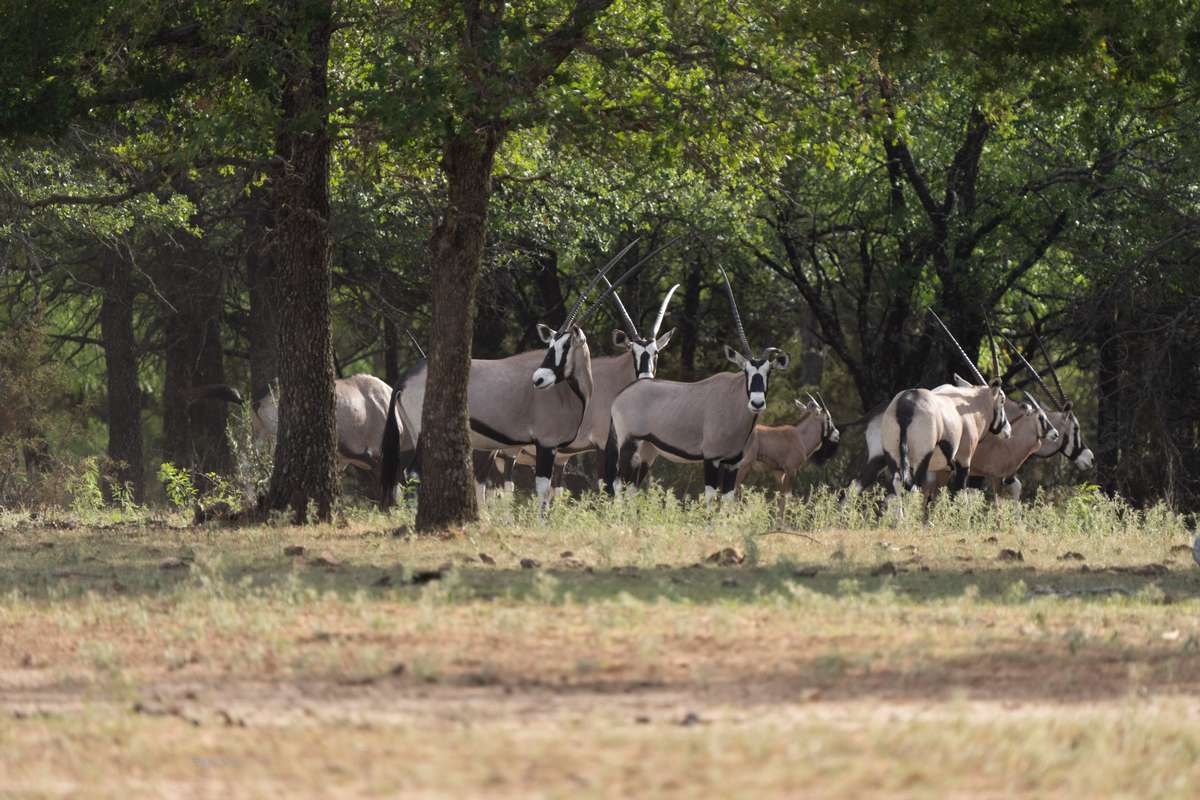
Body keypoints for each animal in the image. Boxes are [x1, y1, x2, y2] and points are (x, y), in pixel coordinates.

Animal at [379, 239, 662, 513]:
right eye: (552, 345)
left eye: (566, 345)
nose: (539, 379)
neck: (572, 390)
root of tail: (406, 378)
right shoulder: (549, 444)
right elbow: (545, 490)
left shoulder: (557, 450)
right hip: (434, 436)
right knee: (415, 473)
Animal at [604, 272, 792, 503]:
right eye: (746, 371)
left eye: (768, 372)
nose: (757, 403)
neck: (734, 401)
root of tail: (621, 395)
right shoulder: (711, 459)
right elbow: (710, 498)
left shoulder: (733, 464)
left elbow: (727, 500)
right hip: (628, 445)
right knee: (619, 484)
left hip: (646, 450)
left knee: (630, 487)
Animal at [883, 311, 1012, 494]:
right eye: (1002, 399)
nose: (1008, 430)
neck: (972, 407)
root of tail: (905, 405)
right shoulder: (963, 461)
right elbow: (960, 493)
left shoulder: (941, 469)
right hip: (921, 459)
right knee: (913, 488)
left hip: (894, 458)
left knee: (898, 486)